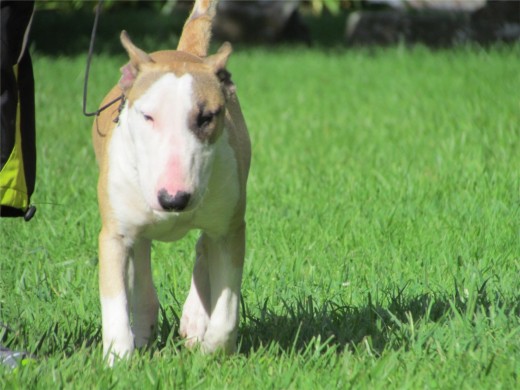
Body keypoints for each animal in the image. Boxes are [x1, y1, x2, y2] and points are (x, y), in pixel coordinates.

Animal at [92, 0, 251, 366]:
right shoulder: (114, 234)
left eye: (206, 117)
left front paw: (211, 349)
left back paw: (194, 319)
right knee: (141, 257)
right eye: (147, 116)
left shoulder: (231, 230)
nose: (174, 199)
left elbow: (227, 308)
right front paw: (119, 359)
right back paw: (144, 325)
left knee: (204, 245)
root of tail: (185, 53)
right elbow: (115, 300)